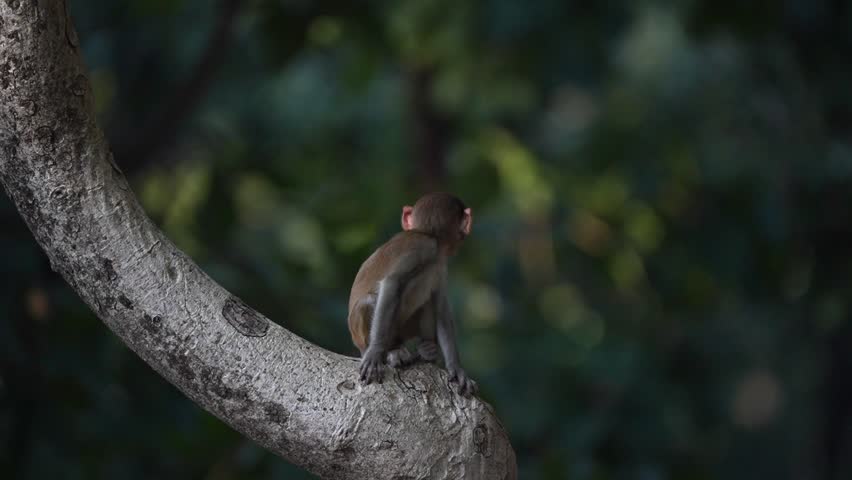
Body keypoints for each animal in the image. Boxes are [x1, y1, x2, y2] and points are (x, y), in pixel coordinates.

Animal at [348, 192, 478, 396]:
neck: (426, 233)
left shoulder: (440, 264)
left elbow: (440, 309)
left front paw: (456, 368)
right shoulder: (425, 247)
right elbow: (392, 283)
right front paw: (375, 352)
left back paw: (426, 351)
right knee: (371, 300)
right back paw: (390, 353)